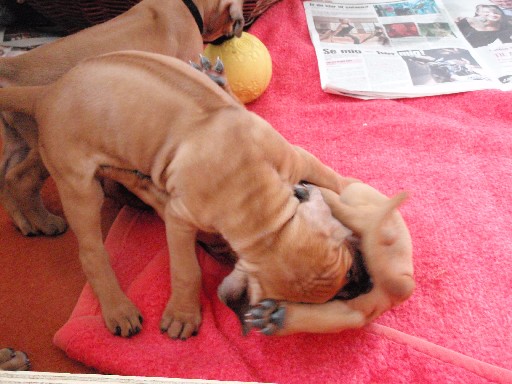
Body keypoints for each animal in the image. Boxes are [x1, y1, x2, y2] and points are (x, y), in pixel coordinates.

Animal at [0, 0, 244, 237]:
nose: (232, 37)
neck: (184, 5)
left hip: (16, 144)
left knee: (5, 179)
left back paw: (25, 223)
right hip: (46, 147)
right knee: (20, 179)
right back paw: (47, 222)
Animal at [0, 50, 360, 340]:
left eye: (347, 265)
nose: (360, 284)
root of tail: (47, 91)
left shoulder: (297, 158)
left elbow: (331, 177)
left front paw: (356, 193)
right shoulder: (179, 219)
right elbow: (186, 269)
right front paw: (183, 314)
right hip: (78, 187)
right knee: (90, 251)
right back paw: (118, 307)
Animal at [244, 183, 416, 336]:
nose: (367, 285)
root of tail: (404, 281)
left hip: (356, 193)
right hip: (355, 309)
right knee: (336, 317)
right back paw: (275, 317)